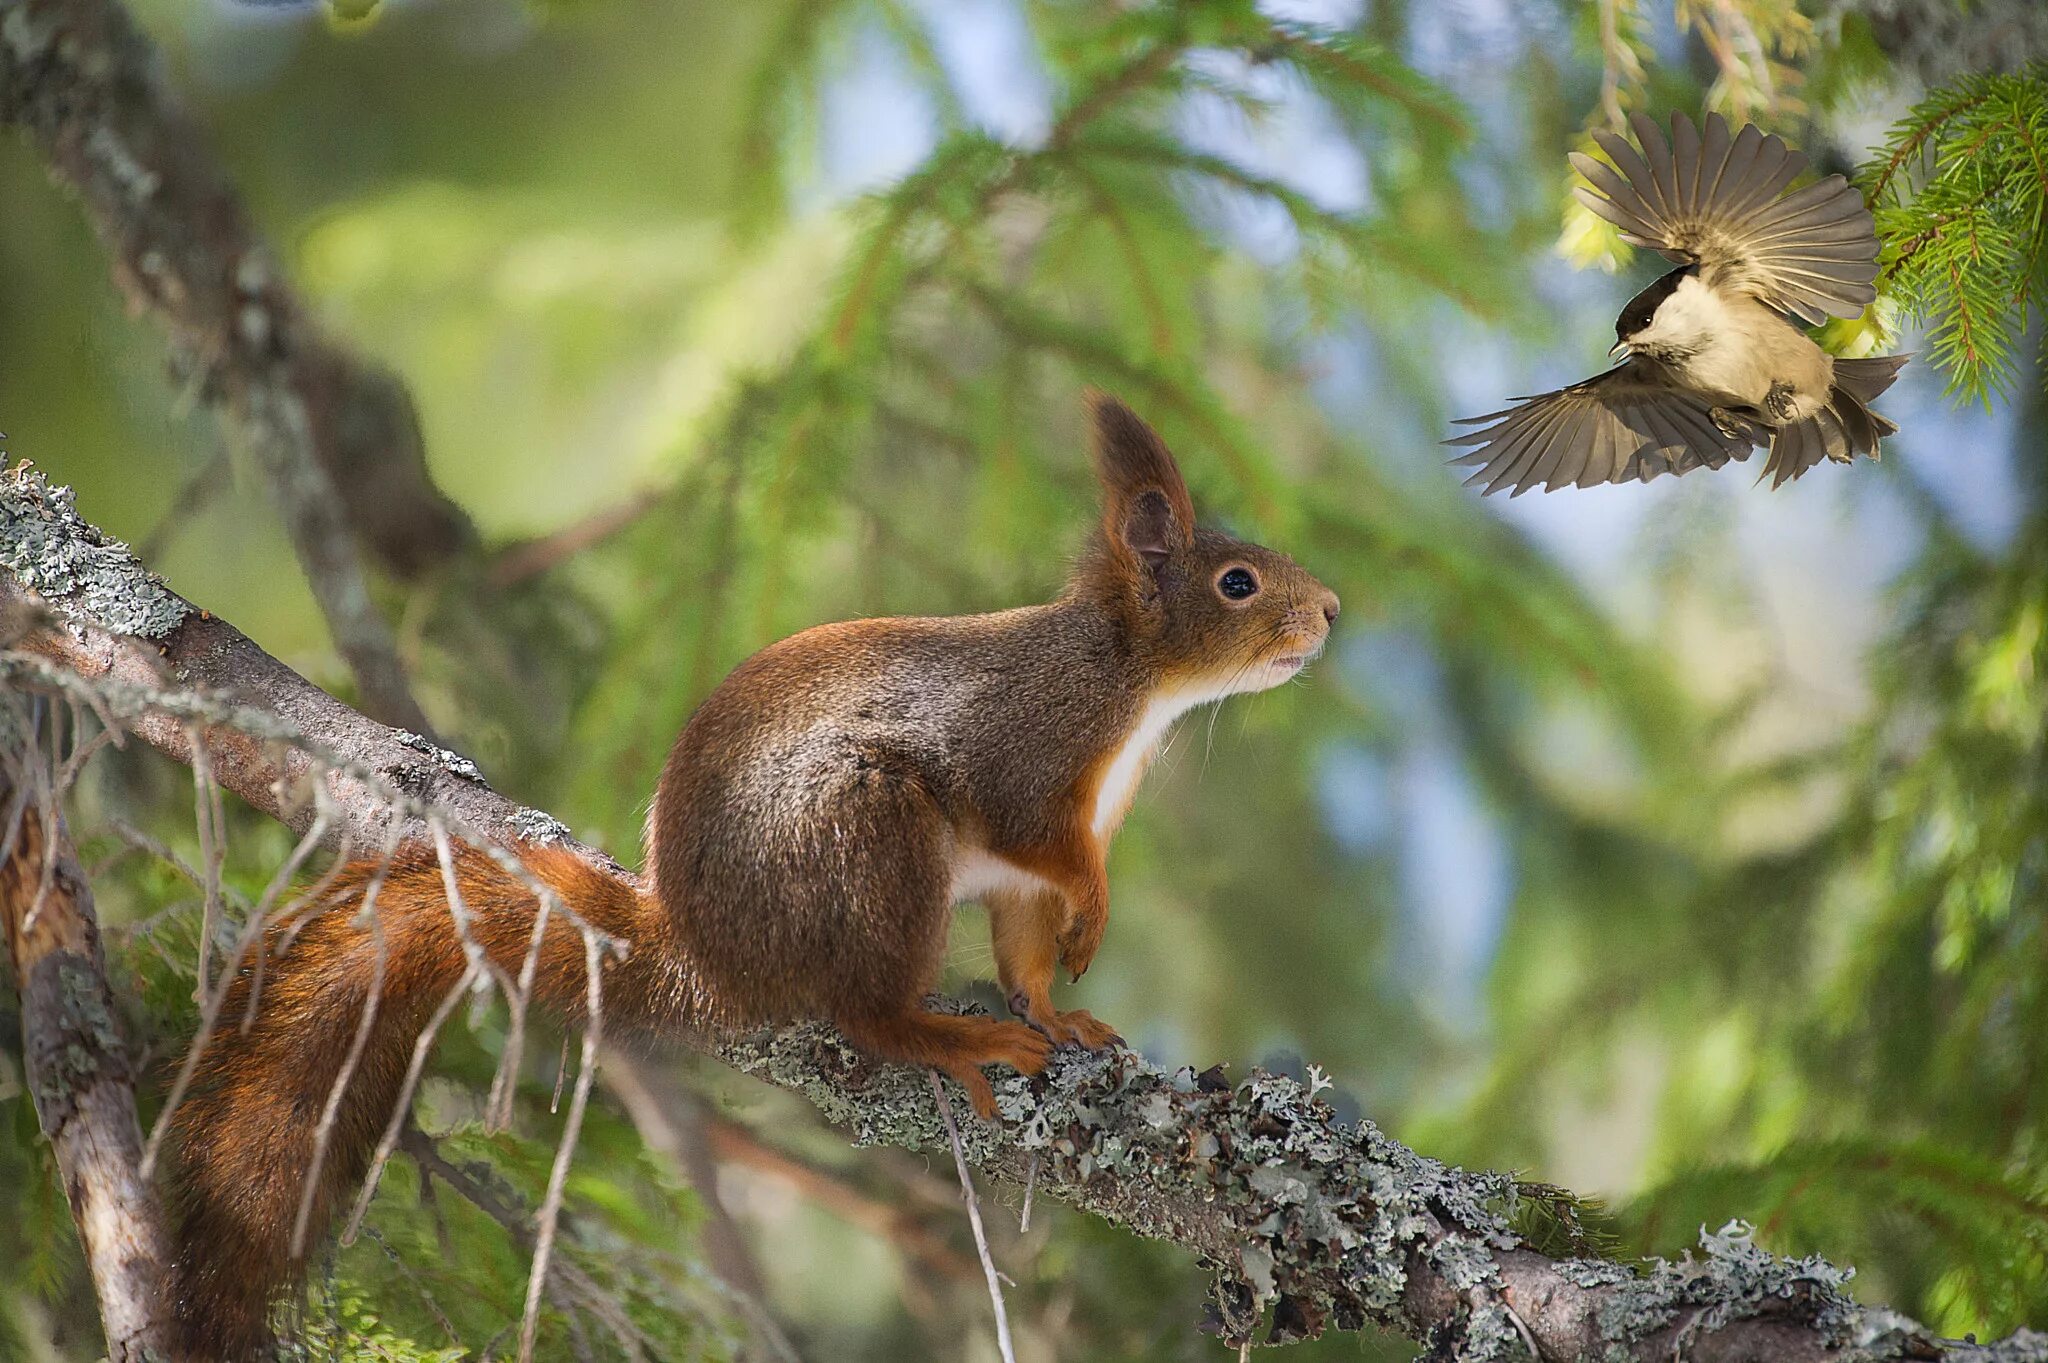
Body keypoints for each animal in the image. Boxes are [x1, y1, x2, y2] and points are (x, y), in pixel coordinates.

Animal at [163, 390, 1343, 1350]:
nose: (1330, 611)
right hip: (865, 831)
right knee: (866, 1010)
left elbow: (1024, 953)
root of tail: (706, 952)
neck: (1131, 682)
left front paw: (1065, 1015)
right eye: (1237, 582)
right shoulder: (1023, 758)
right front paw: (1091, 919)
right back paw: (942, 1033)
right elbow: (1047, 852)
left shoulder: (1022, 877)